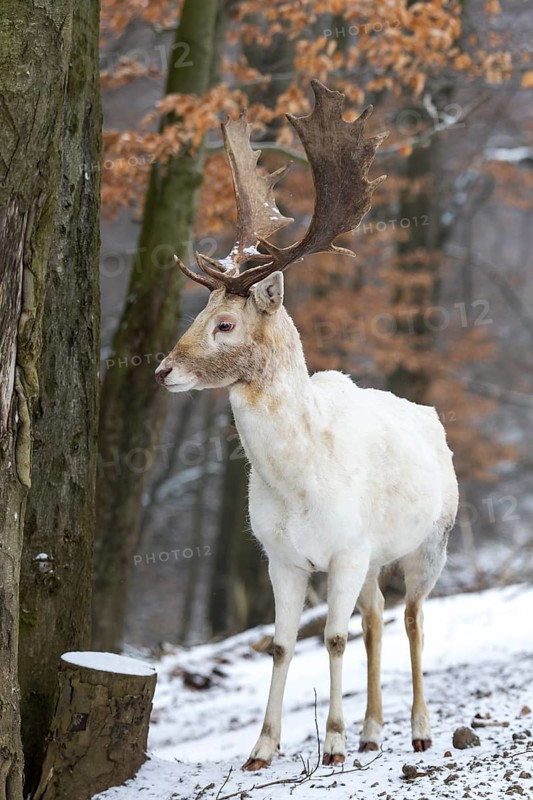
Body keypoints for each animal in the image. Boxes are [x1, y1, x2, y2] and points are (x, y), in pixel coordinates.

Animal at [155, 80, 459, 771]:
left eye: (225, 323)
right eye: (199, 312)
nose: (162, 370)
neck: (299, 485)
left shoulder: (345, 551)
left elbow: (335, 639)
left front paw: (335, 745)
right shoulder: (284, 558)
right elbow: (282, 644)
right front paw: (262, 749)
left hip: (432, 540)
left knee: (411, 620)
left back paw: (417, 729)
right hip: (376, 558)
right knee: (376, 618)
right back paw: (375, 730)